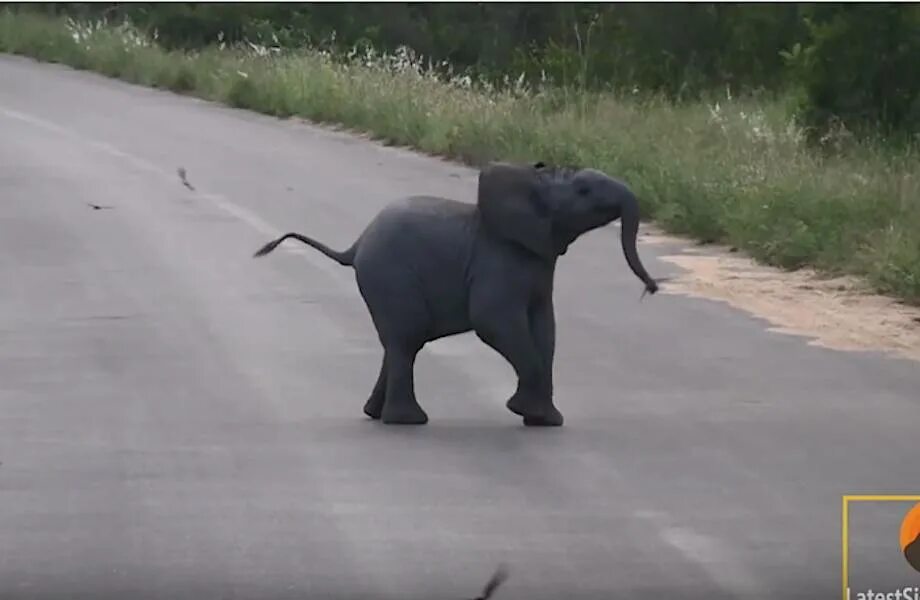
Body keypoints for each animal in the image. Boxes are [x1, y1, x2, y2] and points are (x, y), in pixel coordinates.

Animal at [253, 161, 660, 426]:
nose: (652, 287)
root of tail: (355, 246)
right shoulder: (499, 260)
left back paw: (376, 415)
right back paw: (408, 422)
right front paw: (525, 411)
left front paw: (545, 420)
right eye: (583, 190)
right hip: (390, 276)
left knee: (398, 343)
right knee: (407, 339)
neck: (533, 181)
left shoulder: (539, 264)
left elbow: (546, 328)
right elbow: (494, 321)